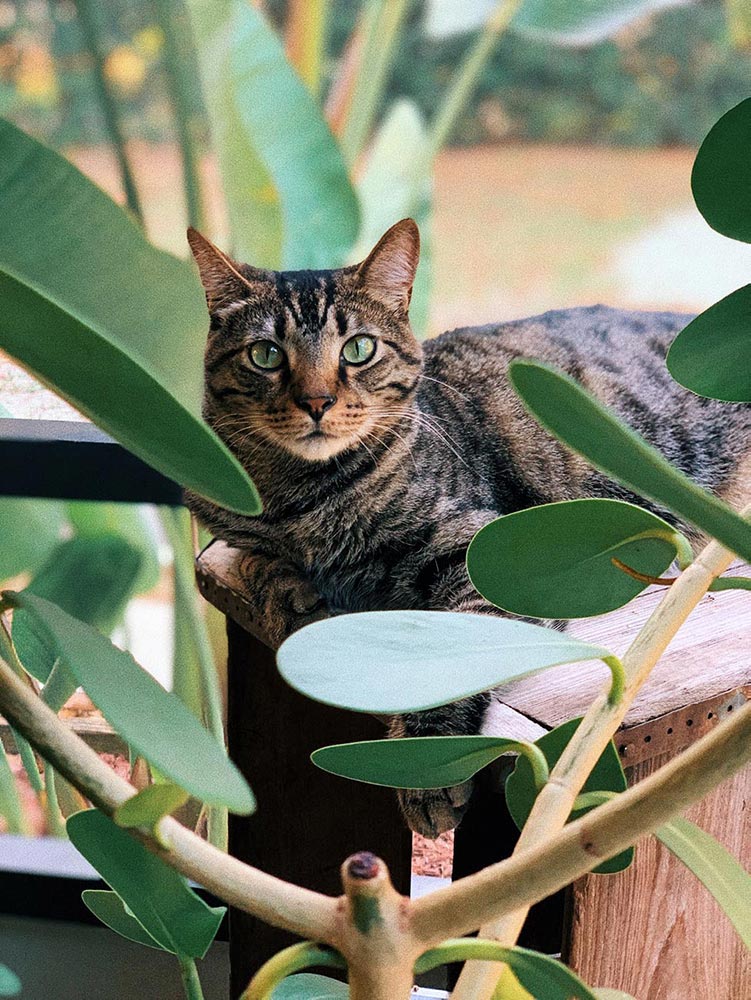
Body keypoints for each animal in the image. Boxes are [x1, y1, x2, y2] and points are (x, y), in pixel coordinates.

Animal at [184, 217, 751, 836]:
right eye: (265, 354)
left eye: (359, 349)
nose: (317, 401)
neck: (302, 499)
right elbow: (255, 555)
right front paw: (285, 586)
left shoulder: (489, 553)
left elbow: (451, 659)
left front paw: (424, 768)